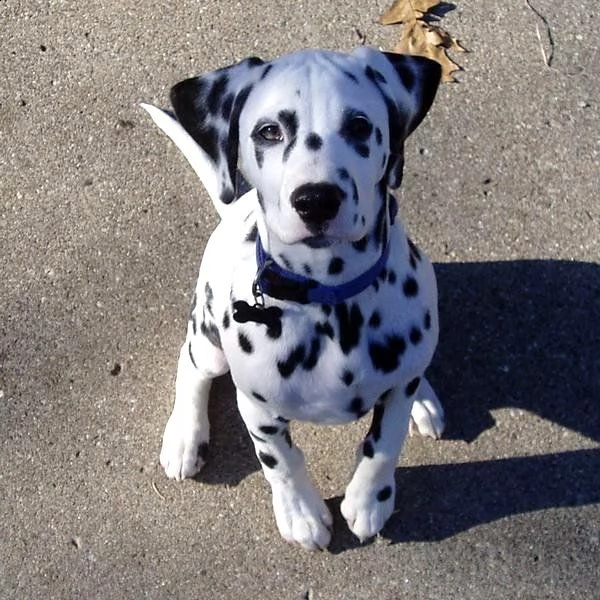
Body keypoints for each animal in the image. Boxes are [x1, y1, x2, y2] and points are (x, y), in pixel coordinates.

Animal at [142, 48, 446, 552]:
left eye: (360, 126)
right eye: (269, 131)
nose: (317, 200)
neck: (328, 299)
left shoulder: (394, 394)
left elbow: (385, 442)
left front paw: (369, 500)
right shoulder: (257, 407)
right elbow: (279, 460)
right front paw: (300, 513)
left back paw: (425, 397)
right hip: (208, 341)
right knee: (191, 365)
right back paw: (185, 435)